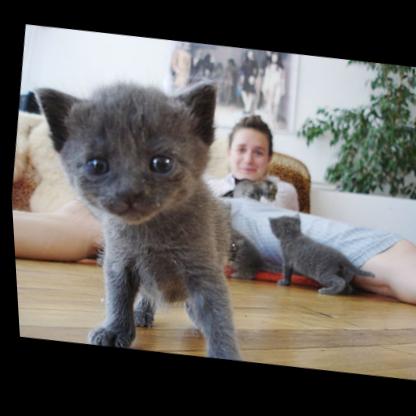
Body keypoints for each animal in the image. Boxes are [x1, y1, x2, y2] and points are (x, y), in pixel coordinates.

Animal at [36, 81, 241, 360]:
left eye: (162, 163)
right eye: (97, 165)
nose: (128, 192)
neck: (150, 231)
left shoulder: (205, 269)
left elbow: (217, 314)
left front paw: (224, 351)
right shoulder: (118, 262)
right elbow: (118, 299)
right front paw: (114, 331)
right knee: (147, 294)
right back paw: (143, 312)